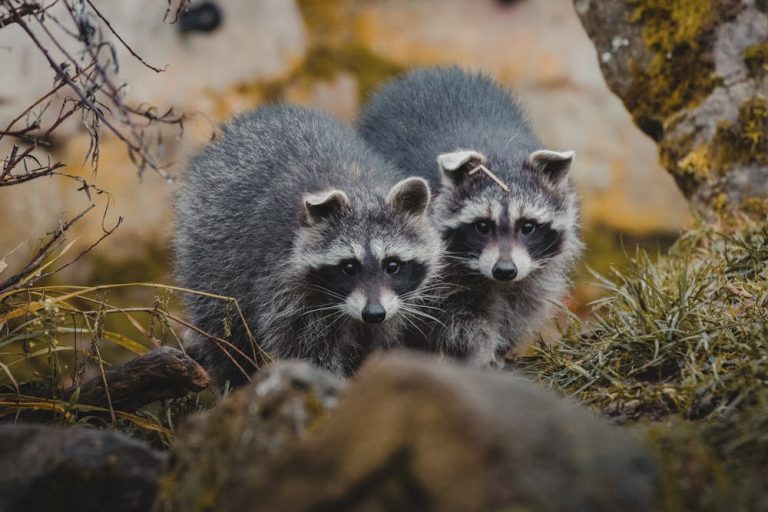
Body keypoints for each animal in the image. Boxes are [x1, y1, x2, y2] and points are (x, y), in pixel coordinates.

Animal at [174, 106, 443, 385]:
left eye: (392, 265)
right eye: (349, 267)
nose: (373, 313)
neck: (358, 189)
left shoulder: (392, 306)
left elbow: (374, 340)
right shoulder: (281, 282)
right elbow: (303, 348)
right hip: (209, 251)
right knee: (222, 329)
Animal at [358, 67, 583, 365]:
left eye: (528, 226)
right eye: (482, 226)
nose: (504, 270)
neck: (500, 151)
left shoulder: (535, 269)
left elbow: (523, 304)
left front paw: (501, 346)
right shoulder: (437, 267)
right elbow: (456, 316)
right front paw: (478, 350)